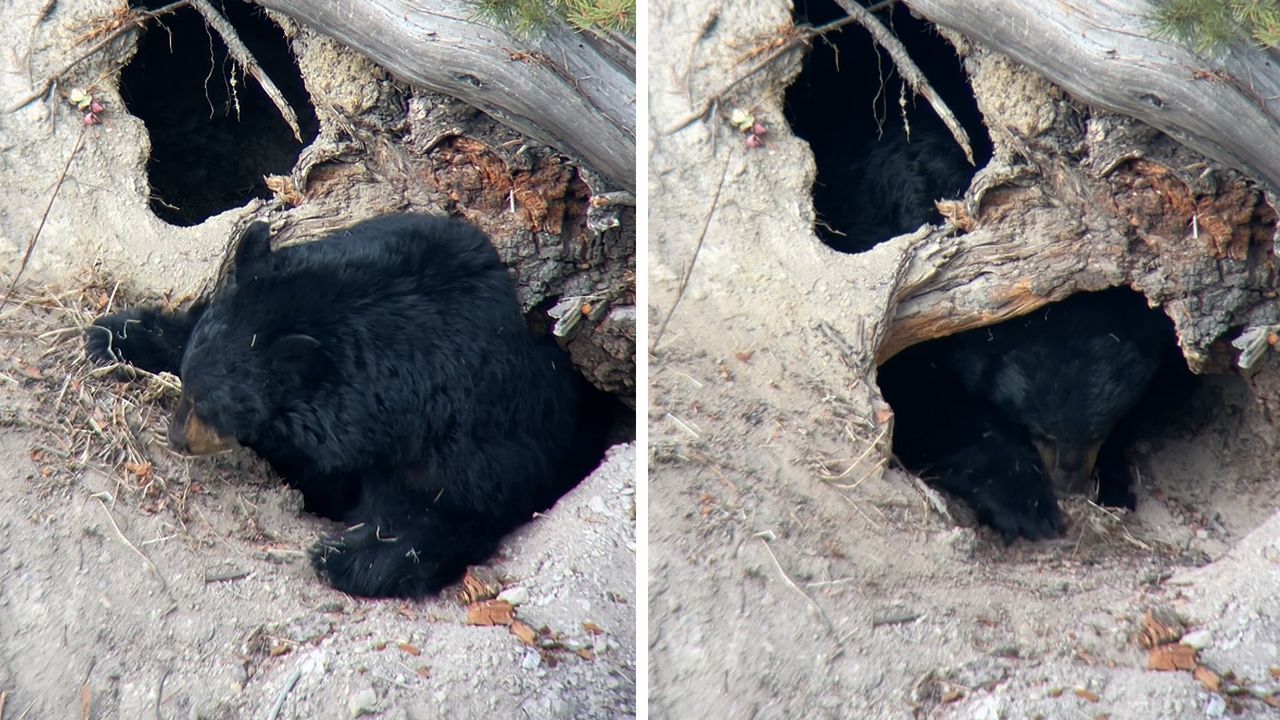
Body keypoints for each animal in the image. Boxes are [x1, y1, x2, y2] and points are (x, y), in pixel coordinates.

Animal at [86, 214, 605, 598]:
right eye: (190, 389)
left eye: (216, 407)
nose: (177, 438)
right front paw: (112, 335)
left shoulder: (475, 429)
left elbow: (442, 510)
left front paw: (344, 558)